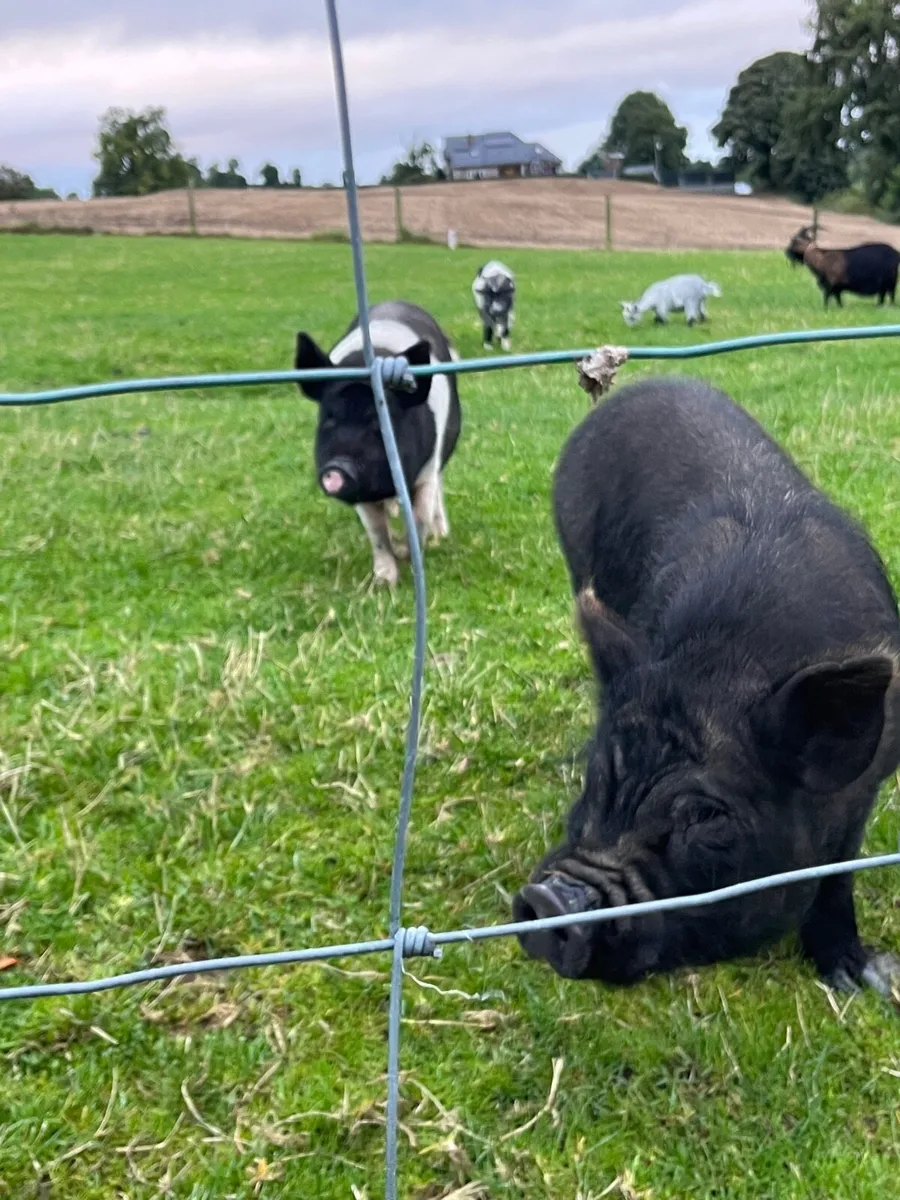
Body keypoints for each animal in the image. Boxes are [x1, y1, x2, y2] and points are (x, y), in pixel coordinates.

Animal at [294, 300, 461, 586]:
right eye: (328, 418)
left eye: (378, 422)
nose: (338, 467)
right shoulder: (361, 494)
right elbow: (376, 532)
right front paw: (384, 582)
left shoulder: (427, 471)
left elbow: (420, 518)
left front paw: (408, 553)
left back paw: (440, 534)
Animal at [513, 376, 900, 995]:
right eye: (598, 776)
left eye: (706, 817)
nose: (551, 900)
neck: (728, 665)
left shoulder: (868, 783)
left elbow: (839, 871)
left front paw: (852, 980)